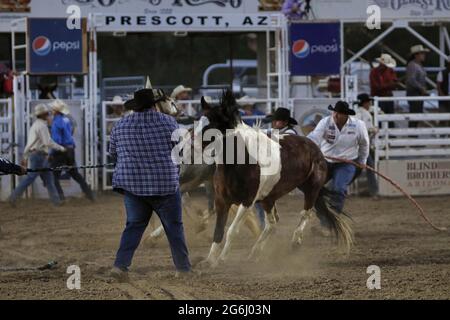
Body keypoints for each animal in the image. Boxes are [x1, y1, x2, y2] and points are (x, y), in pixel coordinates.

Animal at [199, 90, 354, 268]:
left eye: (215, 123)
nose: (196, 144)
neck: (237, 163)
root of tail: (314, 148)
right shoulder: (221, 201)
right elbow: (218, 230)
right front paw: (209, 260)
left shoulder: (247, 202)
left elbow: (232, 230)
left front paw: (221, 259)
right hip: (268, 198)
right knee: (272, 224)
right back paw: (255, 252)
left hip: (311, 188)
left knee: (305, 213)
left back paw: (295, 242)